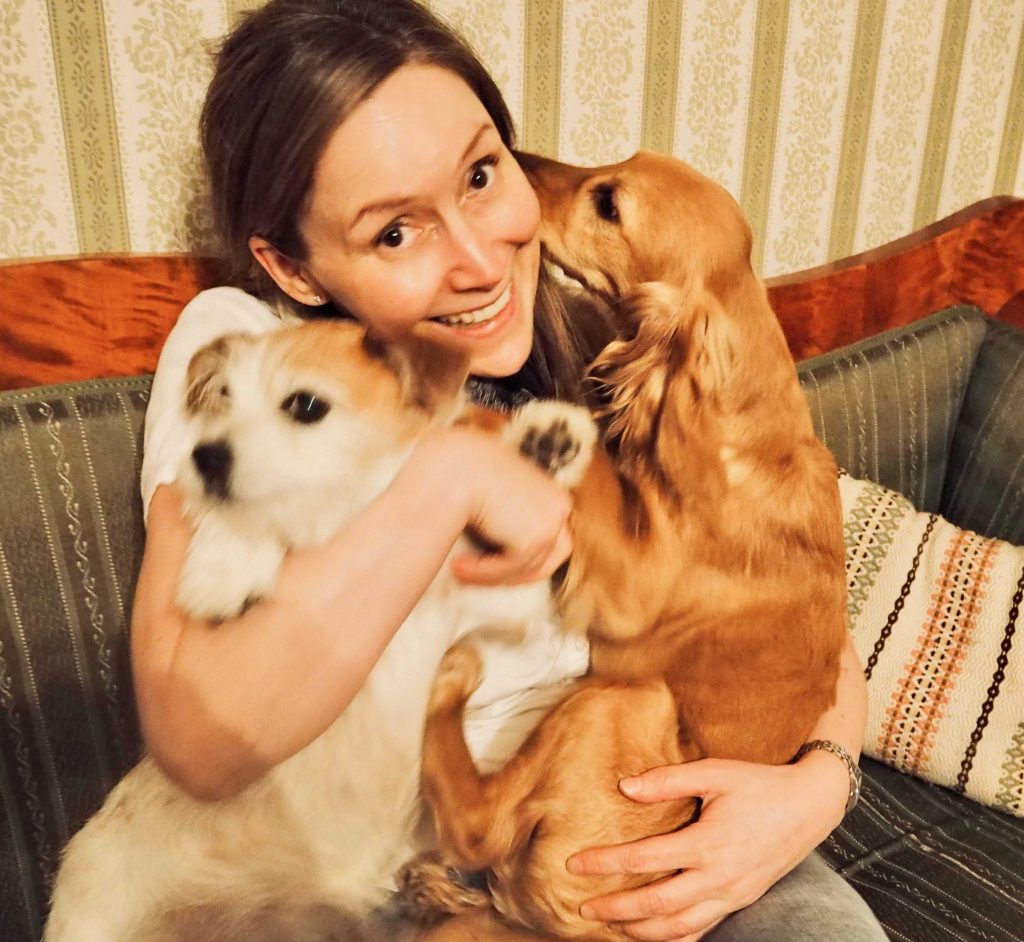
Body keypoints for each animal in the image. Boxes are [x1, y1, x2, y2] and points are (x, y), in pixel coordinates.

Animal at [44, 320, 595, 942]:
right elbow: (231, 516)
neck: (350, 517)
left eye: (305, 405)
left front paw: (541, 445)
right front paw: (222, 570)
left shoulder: (498, 598)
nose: (205, 457)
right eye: (223, 399)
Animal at [406, 151, 848, 940]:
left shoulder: (630, 589)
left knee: (481, 826)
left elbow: (595, 472)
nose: (518, 163)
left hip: (625, 700)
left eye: (609, 204)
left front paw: (516, 426)